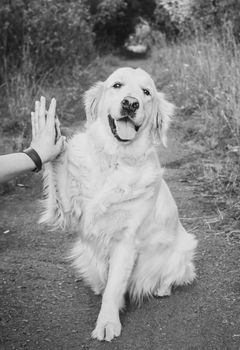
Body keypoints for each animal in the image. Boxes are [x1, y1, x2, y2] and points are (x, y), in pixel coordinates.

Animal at [39, 66, 197, 342]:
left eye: (146, 92)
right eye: (117, 85)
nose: (130, 103)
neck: (114, 158)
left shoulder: (125, 241)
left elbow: (114, 288)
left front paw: (107, 323)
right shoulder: (69, 209)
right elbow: (58, 169)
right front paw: (49, 136)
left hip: (185, 247)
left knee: (177, 273)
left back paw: (162, 288)